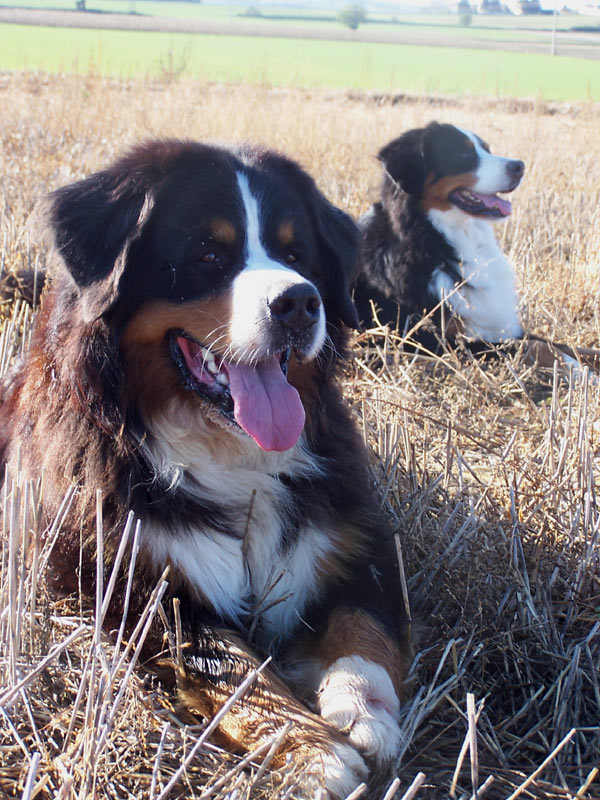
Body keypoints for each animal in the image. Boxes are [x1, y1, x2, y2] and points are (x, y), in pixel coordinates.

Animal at [0, 140, 410, 795]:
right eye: (207, 254)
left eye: (296, 254)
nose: (300, 302)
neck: (232, 456)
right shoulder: (147, 592)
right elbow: (238, 675)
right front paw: (314, 752)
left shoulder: (354, 545)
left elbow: (363, 628)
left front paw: (363, 713)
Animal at [353, 122, 600, 374]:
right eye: (463, 154)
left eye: (487, 149)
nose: (519, 166)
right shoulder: (429, 341)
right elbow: (535, 347)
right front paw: (582, 372)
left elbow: (570, 347)